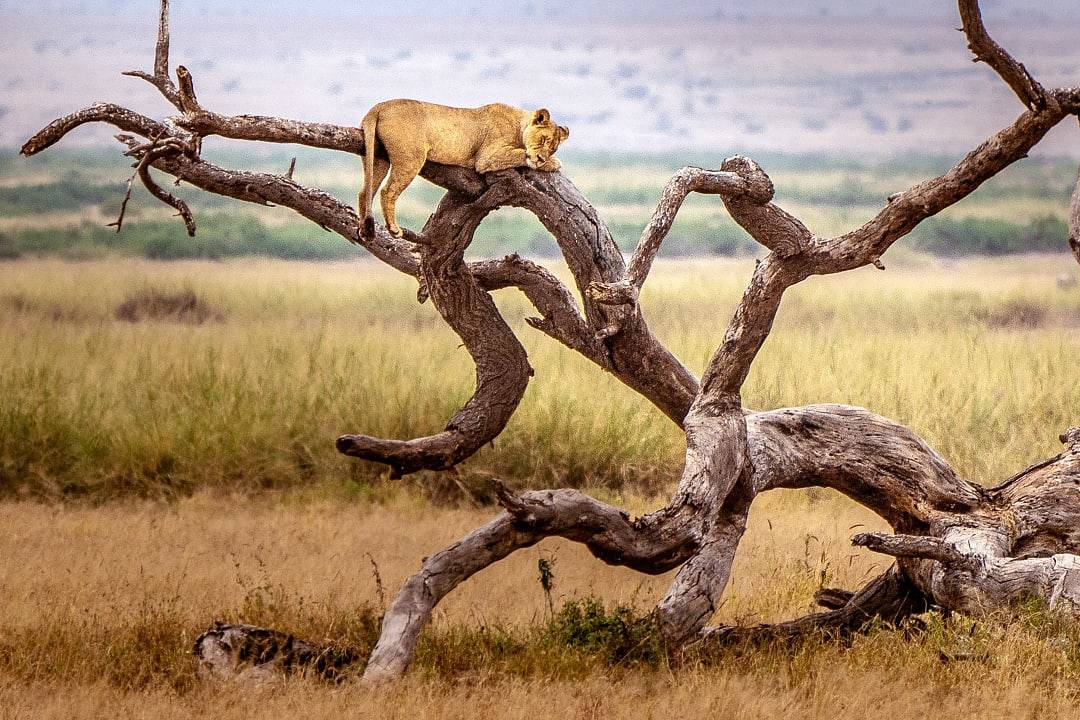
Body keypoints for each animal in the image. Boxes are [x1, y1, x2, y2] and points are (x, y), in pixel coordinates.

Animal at [358, 99, 570, 238]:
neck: (519, 125)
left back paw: (363, 229)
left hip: (377, 159)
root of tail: (379, 106)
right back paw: (394, 228)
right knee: (387, 191)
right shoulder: (487, 158)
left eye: (553, 148)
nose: (542, 158)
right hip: (411, 158)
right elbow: (521, 155)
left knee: (365, 192)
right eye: (544, 139)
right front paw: (552, 163)